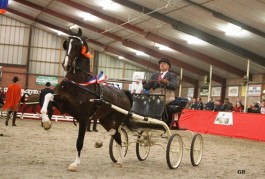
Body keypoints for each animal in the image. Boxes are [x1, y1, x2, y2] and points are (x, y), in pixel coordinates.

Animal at [40, 28, 132, 172]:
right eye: (67, 44)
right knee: (117, 137)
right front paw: (46, 122)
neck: (78, 82)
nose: (66, 64)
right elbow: (48, 96)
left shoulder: (83, 118)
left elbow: (79, 141)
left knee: (114, 131)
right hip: (104, 119)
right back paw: (120, 160)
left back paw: (100, 143)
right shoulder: (63, 105)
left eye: (78, 46)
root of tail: (124, 94)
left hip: (116, 120)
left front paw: (75, 164)